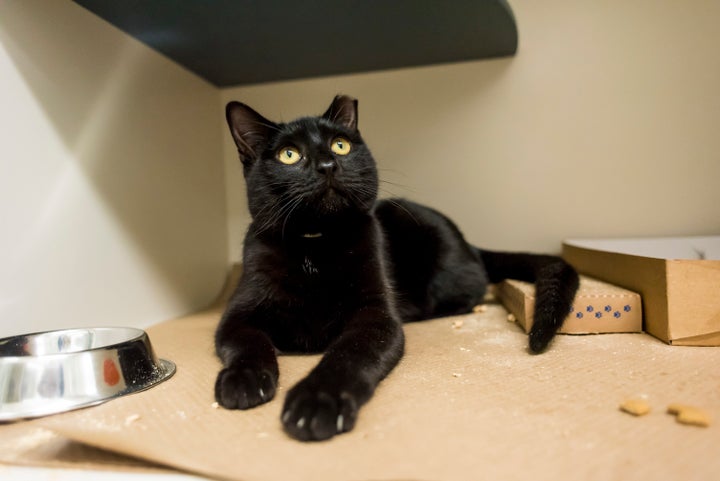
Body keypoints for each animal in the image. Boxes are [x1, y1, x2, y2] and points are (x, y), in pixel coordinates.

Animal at [214, 95, 580, 440]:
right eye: (289, 155)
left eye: (341, 145)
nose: (328, 165)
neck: (314, 247)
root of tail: (467, 242)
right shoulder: (237, 316)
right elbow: (248, 343)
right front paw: (242, 380)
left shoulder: (376, 317)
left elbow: (348, 354)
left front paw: (317, 402)